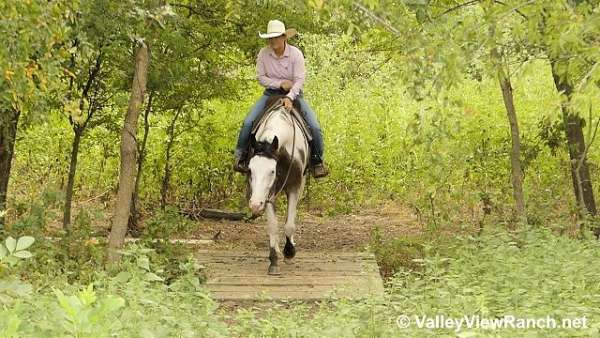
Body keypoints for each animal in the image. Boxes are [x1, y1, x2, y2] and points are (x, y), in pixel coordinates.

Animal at [246, 97, 310, 274]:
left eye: (272, 171)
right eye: (250, 169)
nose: (254, 205)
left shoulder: (295, 187)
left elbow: (289, 225)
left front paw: (289, 252)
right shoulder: (268, 194)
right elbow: (273, 226)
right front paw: (274, 259)